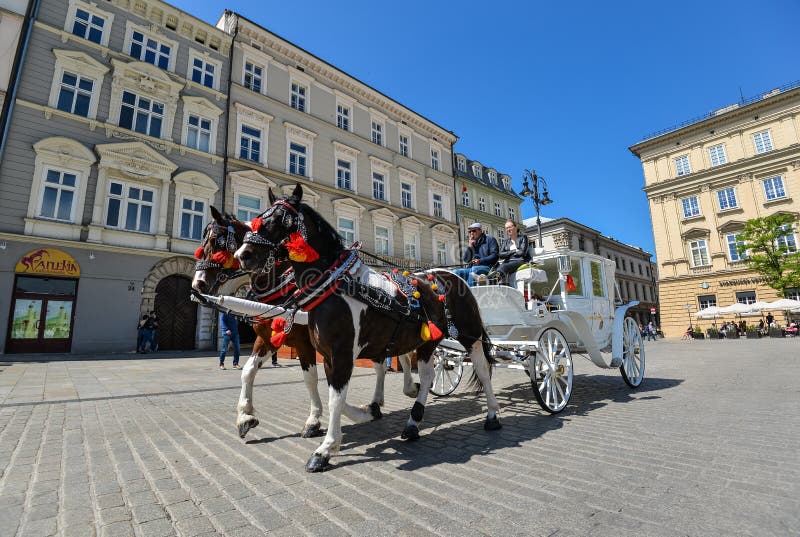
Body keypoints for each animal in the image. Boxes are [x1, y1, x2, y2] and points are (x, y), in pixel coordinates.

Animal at [194, 205, 418, 440]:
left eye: (216, 243)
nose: (198, 283)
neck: (281, 286)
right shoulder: (267, 339)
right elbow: (248, 371)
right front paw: (245, 417)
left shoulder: (306, 343)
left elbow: (311, 378)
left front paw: (314, 420)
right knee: (383, 363)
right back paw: (378, 401)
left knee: (400, 356)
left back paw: (407, 388)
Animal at [233, 186, 500, 472]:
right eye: (257, 217)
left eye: (280, 220)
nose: (243, 255)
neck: (333, 285)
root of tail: (453, 275)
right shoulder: (328, 355)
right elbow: (334, 395)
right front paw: (364, 413)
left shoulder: (341, 353)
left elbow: (334, 398)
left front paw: (325, 449)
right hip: (427, 340)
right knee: (428, 375)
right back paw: (412, 422)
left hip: (470, 335)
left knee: (482, 370)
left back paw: (492, 415)